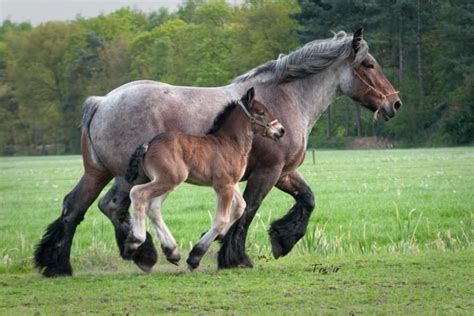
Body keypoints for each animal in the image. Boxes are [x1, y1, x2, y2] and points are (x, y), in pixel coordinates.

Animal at [124, 87, 284, 270]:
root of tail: (149, 144)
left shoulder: (232, 183)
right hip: (168, 179)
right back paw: (135, 241)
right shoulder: (223, 186)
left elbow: (240, 207)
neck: (230, 143)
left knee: (153, 207)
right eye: (261, 112)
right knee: (137, 193)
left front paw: (218, 236)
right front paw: (195, 256)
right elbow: (221, 219)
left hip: (167, 182)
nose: (281, 130)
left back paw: (172, 251)